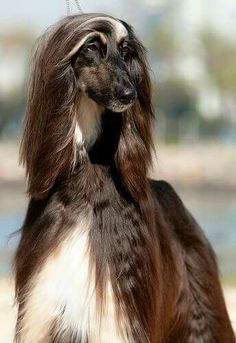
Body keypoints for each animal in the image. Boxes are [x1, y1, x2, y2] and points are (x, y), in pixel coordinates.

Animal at [14, 13, 234, 343]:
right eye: (91, 47)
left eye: (126, 50)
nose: (129, 93)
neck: (86, 183)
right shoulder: (46, 309)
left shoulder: (118, 317)